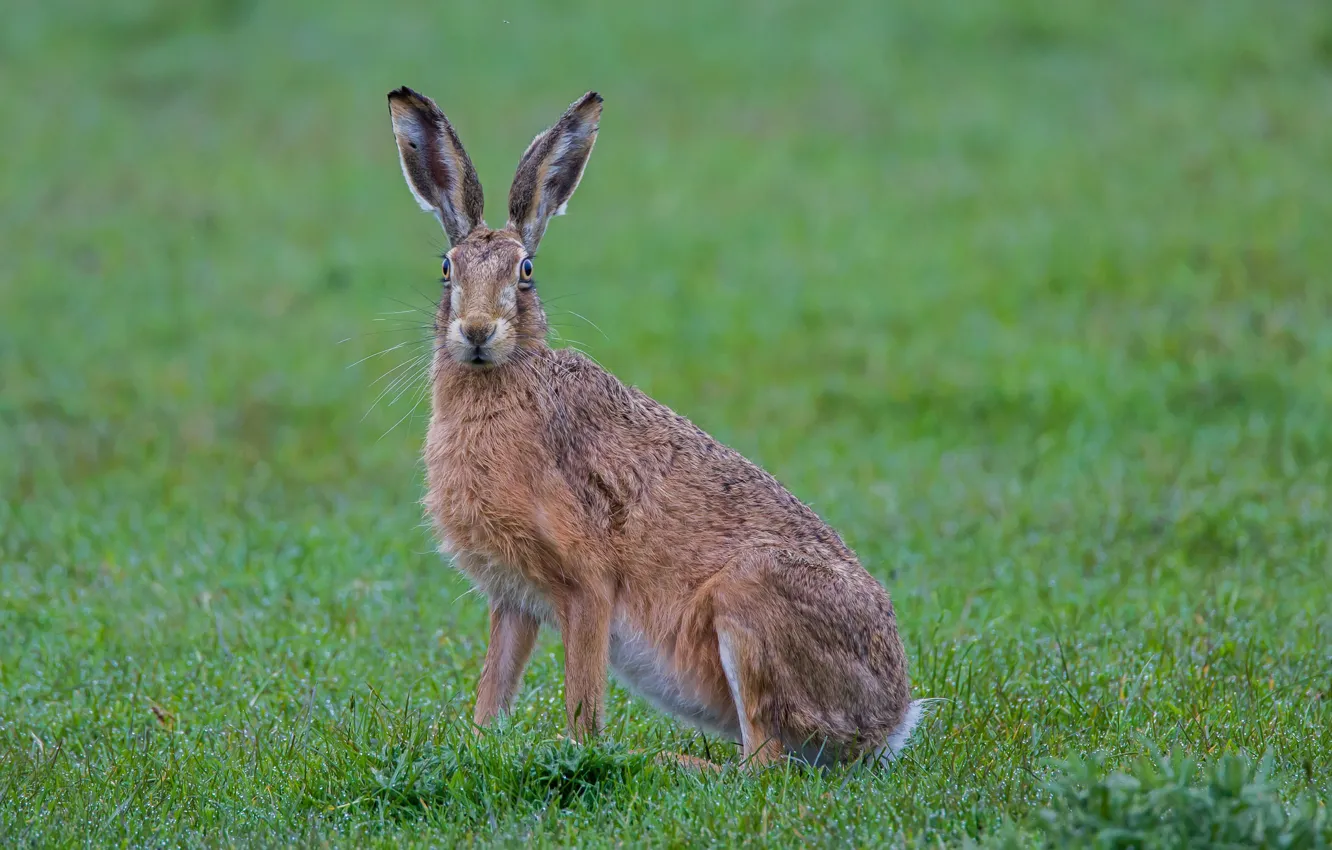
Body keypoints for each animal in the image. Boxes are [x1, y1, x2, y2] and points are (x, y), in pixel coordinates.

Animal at [386, 86, 928, 767]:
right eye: (447, 269)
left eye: (526, 271)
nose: (477, 331)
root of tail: (890, 721)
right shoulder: (512, 599)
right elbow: (494, 687)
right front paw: (480, 741)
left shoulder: (588, 585)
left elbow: (584, 711)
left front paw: (577, 751)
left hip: (750, 601)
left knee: (762, 763)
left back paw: (662, 760)